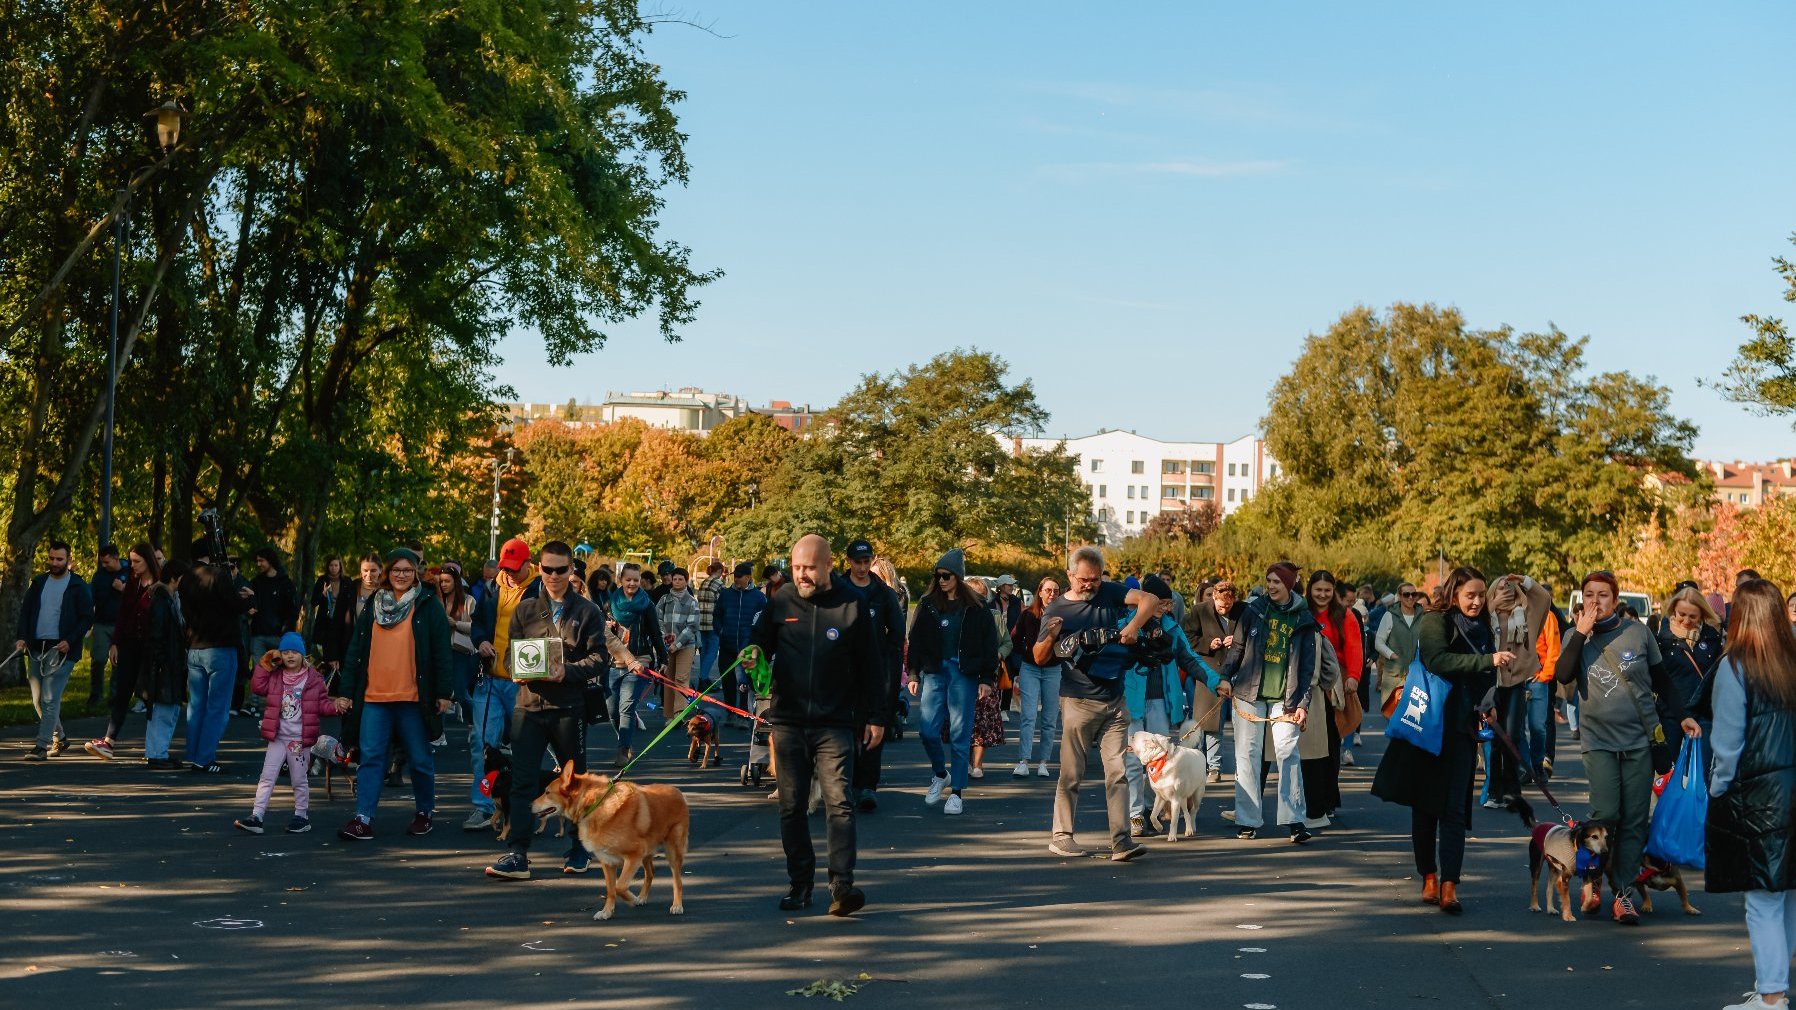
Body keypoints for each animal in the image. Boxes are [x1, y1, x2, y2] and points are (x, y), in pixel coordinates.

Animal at [528, 761, 689, 920]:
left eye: (547, 792)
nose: (529, 805)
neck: (595, 805)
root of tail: (677, 791)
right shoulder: (608, 862)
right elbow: (611, 890)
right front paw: (607, 912)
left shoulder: (633, 856)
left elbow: (620, 887)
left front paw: (632, 899)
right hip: (646, 854)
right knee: (650, 873)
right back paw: (642, 897)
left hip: (672, 852)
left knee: (678, 881)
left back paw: (677, 905)